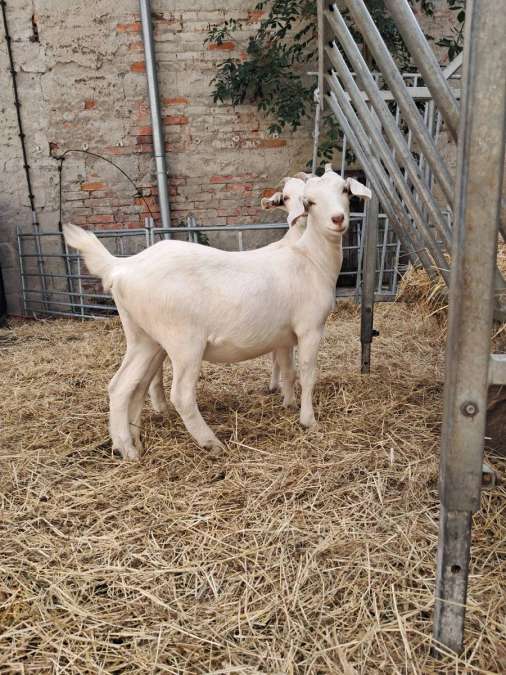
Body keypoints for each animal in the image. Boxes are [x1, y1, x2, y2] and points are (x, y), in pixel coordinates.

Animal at [63, 166, 371, 459]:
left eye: (345, 190)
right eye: (310, 201)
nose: (338, 219)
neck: (310, 259)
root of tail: (122, 267)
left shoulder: (284, 336)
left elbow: (287, 370)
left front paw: (289, 403)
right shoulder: (310, 327)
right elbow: (307, 372)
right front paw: (308, 420)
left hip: (143, 336)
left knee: (123, 386)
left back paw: (128, 447)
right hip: (183, 340)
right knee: (180, 395)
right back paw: (210, 443)